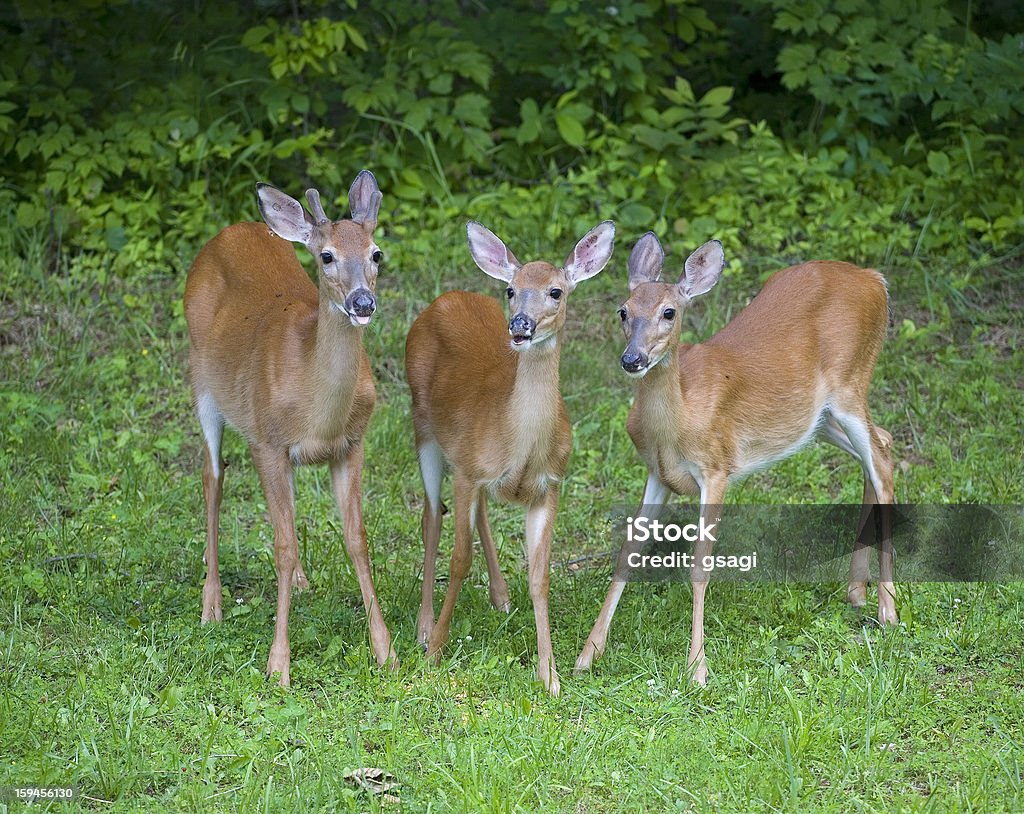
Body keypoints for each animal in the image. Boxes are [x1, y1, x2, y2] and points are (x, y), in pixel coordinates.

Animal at [183, 172, 395, 688]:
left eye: (377, 253)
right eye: (327, 256)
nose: (362, 302)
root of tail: (230, 230)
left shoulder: (353, 443)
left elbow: (357, 539)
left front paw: (386, 651)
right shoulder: (266, 442)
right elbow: (280, 545)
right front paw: (278, 664)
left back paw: (299, 582)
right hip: (202, 382)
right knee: (212, 479)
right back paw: (211, 603)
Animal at [405, 220, 614, 696]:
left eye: (556, 291)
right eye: (511, 290)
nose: (520, 324)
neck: (519, 445)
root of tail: (443, 299)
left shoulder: (550, 485)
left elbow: (540, 576)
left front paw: (550, 675)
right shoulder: (467, 471)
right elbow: (459, 560)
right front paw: (435, 651)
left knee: (478, 511)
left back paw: (500, 597)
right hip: (423, 428)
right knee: (431, 517)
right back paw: (424, 627)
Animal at [573, 235, 901, 688]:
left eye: (669, 312)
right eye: (624, 310)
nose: (632, 359)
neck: (678, 420)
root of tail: (876, 280)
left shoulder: (716, 468)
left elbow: (700, 566)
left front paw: (696, 668)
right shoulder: (658, 472)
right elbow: (627, 553)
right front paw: (587, 655)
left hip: (851, 383)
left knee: (882, 461)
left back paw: (888, 609)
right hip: (818, 418)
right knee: (880, 444)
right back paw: (856, 592)